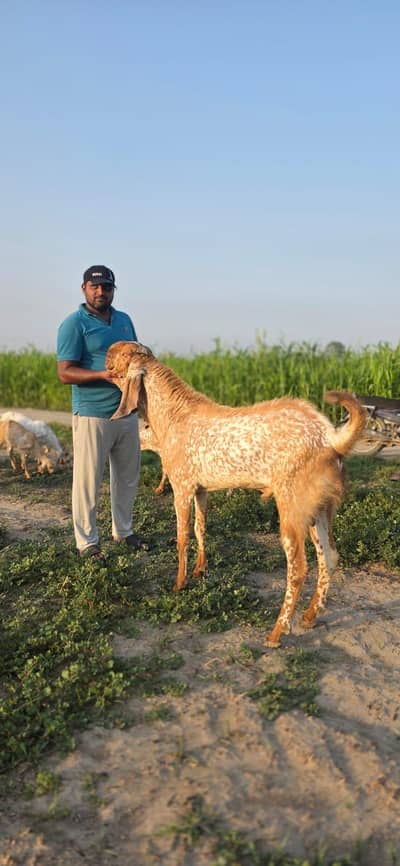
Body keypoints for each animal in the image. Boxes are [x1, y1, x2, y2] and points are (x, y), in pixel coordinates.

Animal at [106, 341, 366, 648]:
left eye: (116, 357)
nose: (103, 358)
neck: (174, 414)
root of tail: (330, 437)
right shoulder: (201, 489)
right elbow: (201, 528)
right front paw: (200, 570)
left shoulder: (181, 487)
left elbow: (182, 537)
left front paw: (179, 583)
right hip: (317, 509)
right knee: (330, 557)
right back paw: (310, 615)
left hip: (292, 508)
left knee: (298, 569)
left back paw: (277, 632)